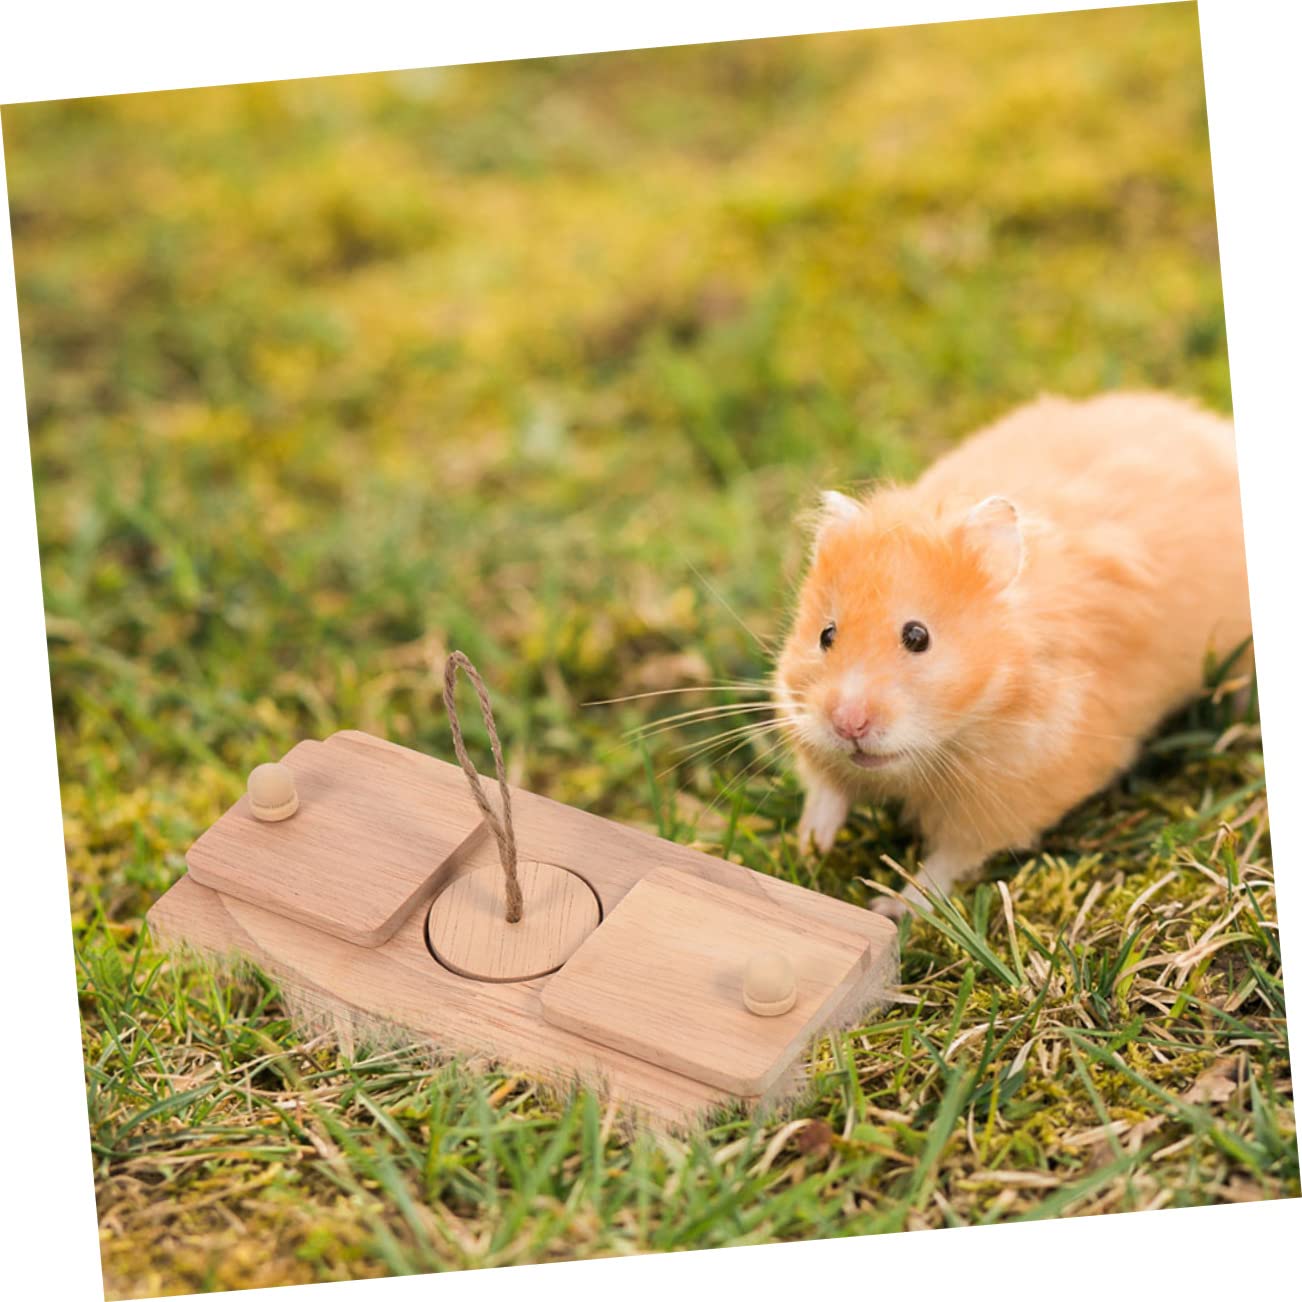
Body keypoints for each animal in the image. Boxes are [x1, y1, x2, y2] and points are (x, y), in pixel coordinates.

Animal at [775, 392, 1253, 917]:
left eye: (917, 637)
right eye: (826, 634)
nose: (848, 725)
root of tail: (1216, 431)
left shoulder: (1013, 793)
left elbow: (948, 861)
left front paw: (891, 907)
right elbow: (826, 789)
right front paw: (808, 847)